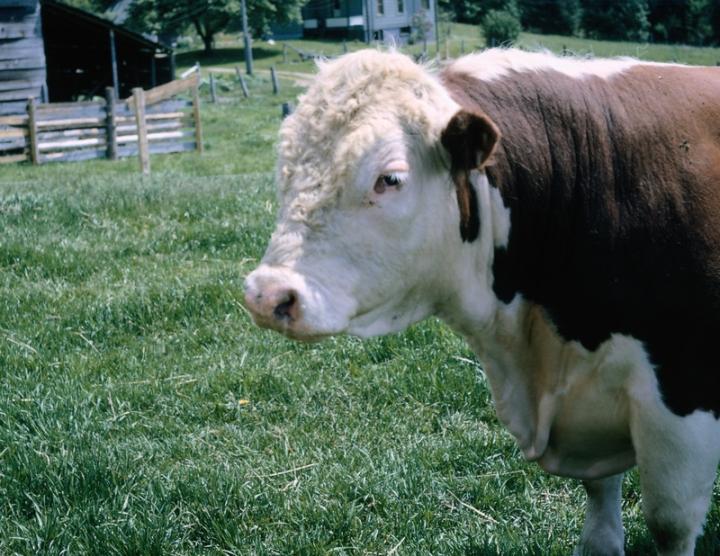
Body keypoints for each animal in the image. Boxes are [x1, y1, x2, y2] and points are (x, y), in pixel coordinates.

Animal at [243, 48, 720, 556]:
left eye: (389, 178)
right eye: (287, 167)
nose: (267, 294)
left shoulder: (681, 400)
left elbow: (669, 522)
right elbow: (600, 528)